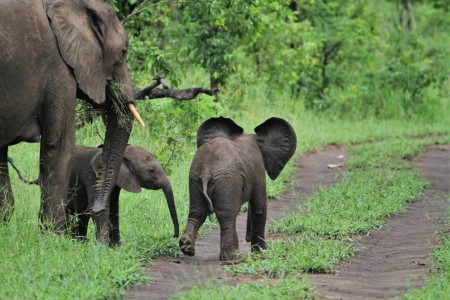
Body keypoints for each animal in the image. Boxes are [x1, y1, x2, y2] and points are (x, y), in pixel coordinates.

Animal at [178, 116, 298, 262]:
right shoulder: (258, 170)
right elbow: (259, 209)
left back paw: (187, 247)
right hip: (227, 181)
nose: (247, 238)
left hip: (196, 179)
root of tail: (206, 171)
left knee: (197, 212)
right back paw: (232, 258)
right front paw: (262, 253)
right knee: (227, 216)